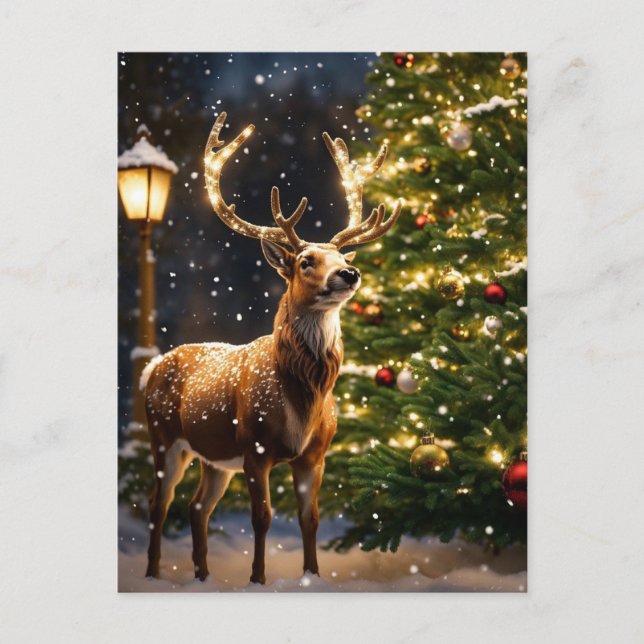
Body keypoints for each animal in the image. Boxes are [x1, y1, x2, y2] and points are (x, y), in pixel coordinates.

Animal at [141, 112, 402, 585]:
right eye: (305, 262)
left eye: (341, 256)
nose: (349, 273)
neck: (304, 396)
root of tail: (151, 367)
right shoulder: (255, 446)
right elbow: (261, 518)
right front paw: (257, 579)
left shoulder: (315, 454)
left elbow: (309, 518)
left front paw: (312, 576)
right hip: (164, 437)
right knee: (159, 503)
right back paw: (153, 575)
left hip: (214, 456)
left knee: (197, 506)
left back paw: (203, 575)